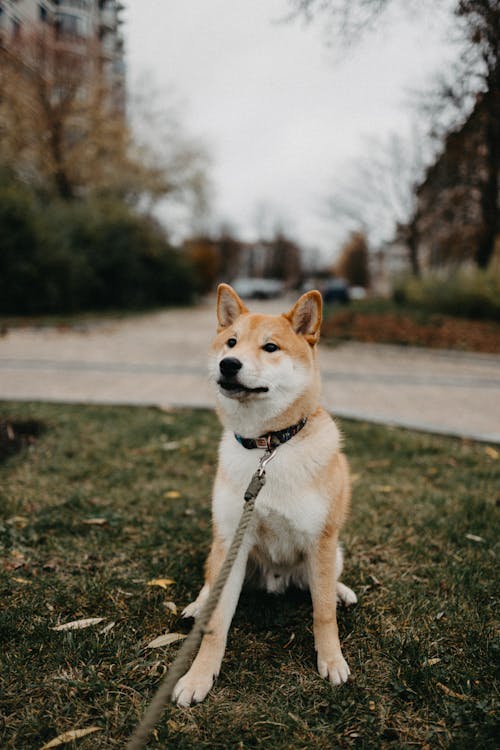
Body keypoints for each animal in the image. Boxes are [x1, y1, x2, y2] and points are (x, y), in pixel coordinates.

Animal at [174, 284, 358, 708]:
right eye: (231, 342)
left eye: (270, 347)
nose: (228, 364)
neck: (268, 448)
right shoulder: (233, 540)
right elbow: (216, 625)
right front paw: (199, 676)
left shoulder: (321, 541)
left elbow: (323, 613)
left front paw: (332, 660)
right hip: (222, 548)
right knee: (210, 582)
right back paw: (198, 603)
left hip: (332, 552)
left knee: (327, 584)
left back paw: (342, 590)